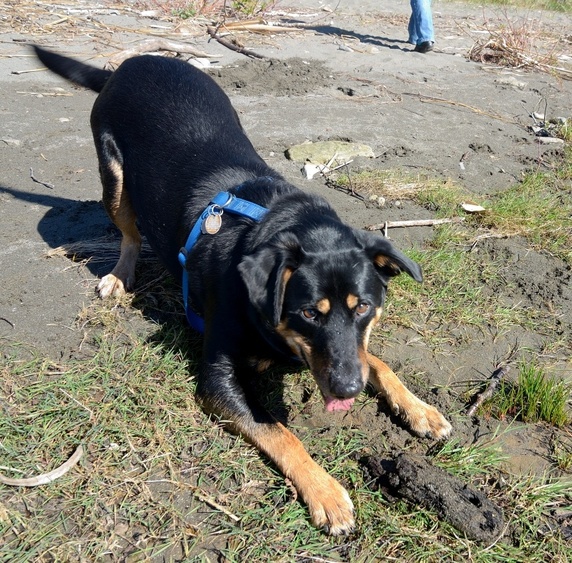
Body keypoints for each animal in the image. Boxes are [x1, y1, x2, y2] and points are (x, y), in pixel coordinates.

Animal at [33, 46, 454, 536]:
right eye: (308, 313)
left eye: (364, 307)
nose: (349, 389)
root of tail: (131, 63)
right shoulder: (220, 378)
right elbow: (280, 432)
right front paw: (326, 492)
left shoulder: (351, 349)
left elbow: (378, 363)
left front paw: (420, 409)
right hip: (114, 176)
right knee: (129, 231)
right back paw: (120, 274)